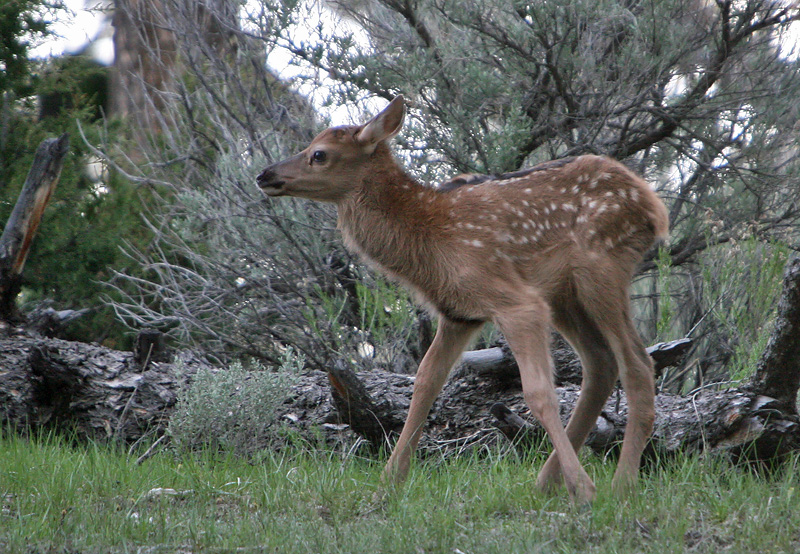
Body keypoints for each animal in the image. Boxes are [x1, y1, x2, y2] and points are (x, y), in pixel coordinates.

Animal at [258, 97, 668, 502]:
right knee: (601, 364)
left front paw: (585, 489)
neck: (429, 240)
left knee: (637, 363)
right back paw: (550, 481)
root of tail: (654, 205)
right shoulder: (458, 314)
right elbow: (425, 382)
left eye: (319, 154)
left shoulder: (515, 301)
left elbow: (538, 392)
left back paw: (619, 485)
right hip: (565, 293)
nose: (265, 175)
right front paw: (388, 484)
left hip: (602, 267)